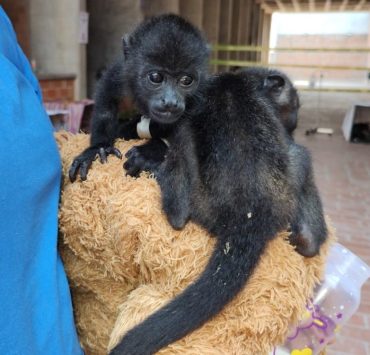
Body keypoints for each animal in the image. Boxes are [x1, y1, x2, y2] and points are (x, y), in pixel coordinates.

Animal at [68, 14, 210, 182]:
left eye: (186, 80)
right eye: (155, 77)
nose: (171, 101)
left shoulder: (202, 92)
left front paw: (149, 152)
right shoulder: (121, 73)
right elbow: (106, 98)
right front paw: (98, 148)